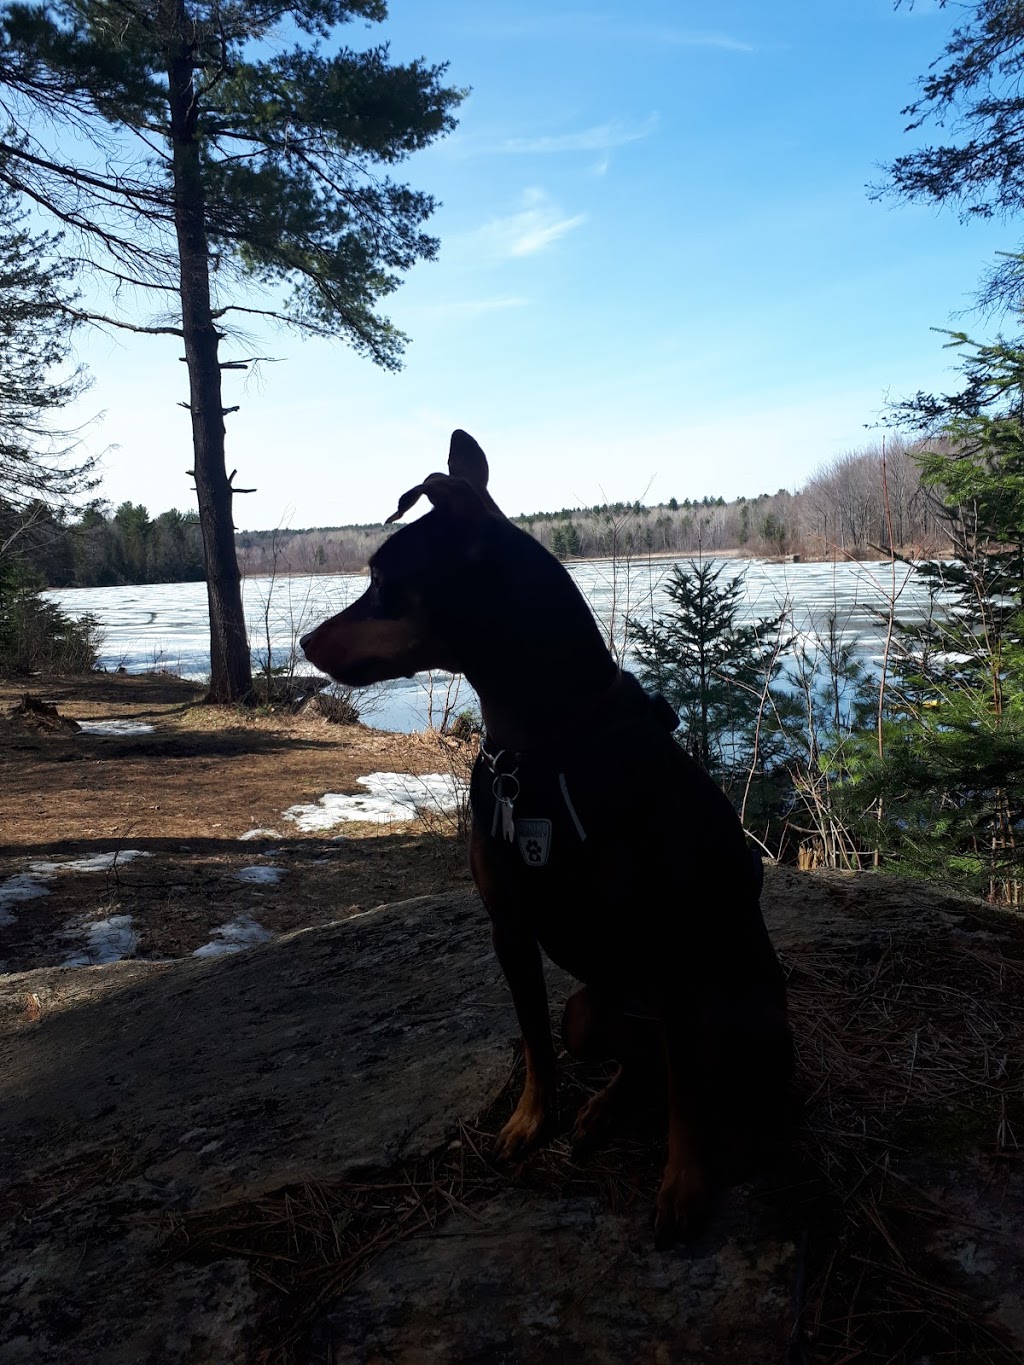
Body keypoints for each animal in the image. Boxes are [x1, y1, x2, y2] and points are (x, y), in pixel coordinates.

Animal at [300, 428, 797, 1250]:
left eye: (382, 578)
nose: (307, 640)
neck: (534, 747)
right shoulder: (507, 924)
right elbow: (533, 1036)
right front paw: (533, 1121)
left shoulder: (670, 942)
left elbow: (689, 1094)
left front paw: (684, 1183)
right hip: (592, 1010)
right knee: (639, 1059)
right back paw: (600, 1111)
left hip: (730, 1007)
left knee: (690, 1068)